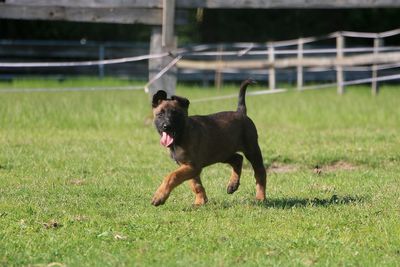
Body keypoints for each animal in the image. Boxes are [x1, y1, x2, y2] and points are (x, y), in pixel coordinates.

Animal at [152, 79, 268, 207]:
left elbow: (172, 176)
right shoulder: (187, 166)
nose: (166, 126)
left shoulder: (193, 166)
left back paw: (260, 197)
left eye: (175, 114)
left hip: (252, 150)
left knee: (260, 172)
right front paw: (200, 201)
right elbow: (195, 185)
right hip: (222, 153)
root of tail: (241, 112)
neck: (181, 136)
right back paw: (233, 184)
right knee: (238, 159)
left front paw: (159, 196)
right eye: (160, 115)